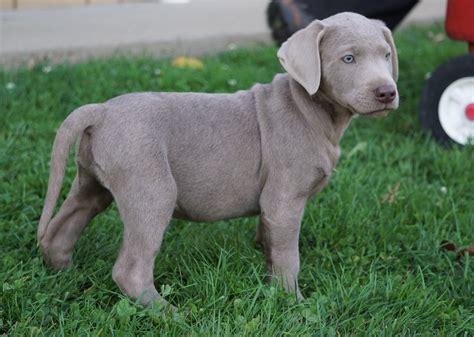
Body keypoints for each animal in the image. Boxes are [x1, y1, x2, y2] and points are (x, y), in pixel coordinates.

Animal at [38, 13, 400, 308]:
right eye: (348, 58)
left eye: (386, 55)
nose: (387, 92)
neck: (310, 109)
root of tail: (101, 111)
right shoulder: (285, 199)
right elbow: (289, 256)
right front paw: (293, 301)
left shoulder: (271, 205)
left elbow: (270, 243)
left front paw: (269, 279)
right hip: (150, 189)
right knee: (130, 268)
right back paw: (169, 313)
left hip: (92, 181)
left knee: (61, 229)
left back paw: (67, 277)